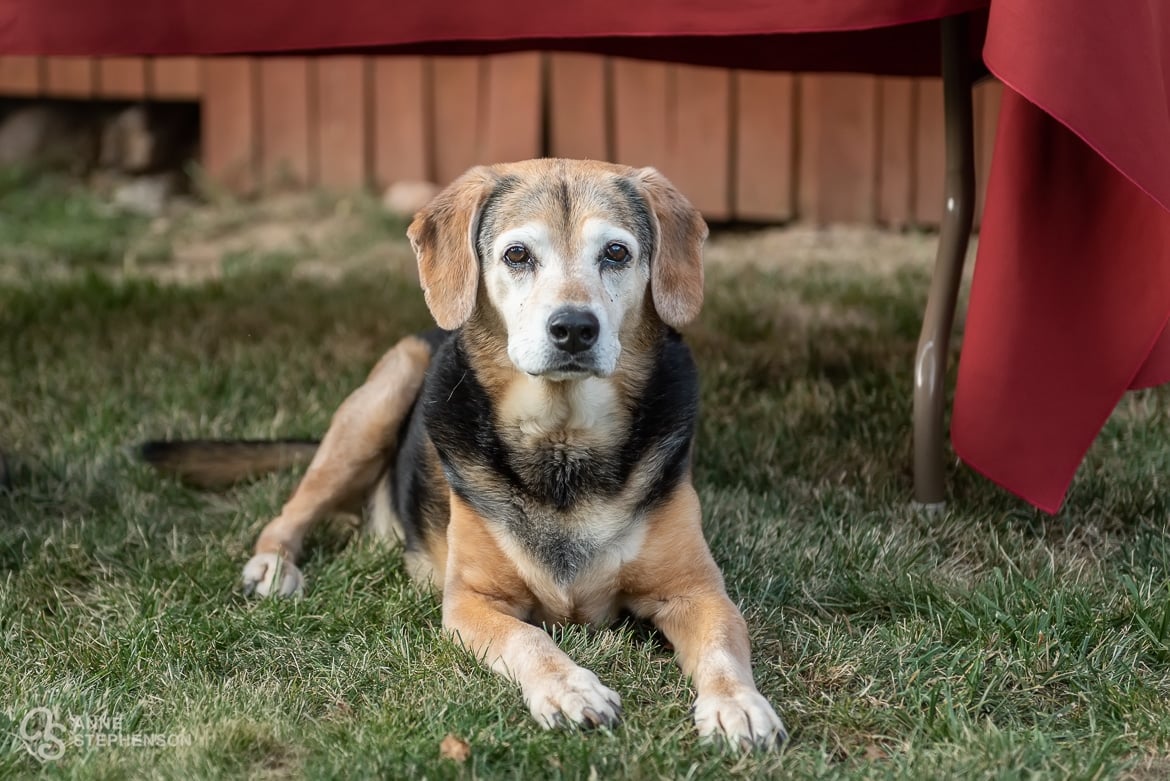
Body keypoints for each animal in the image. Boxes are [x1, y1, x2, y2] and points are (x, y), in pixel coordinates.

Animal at [143, 159, 786, 748]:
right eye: (518, 255)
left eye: (616, 253)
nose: (574, 328)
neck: (563, 447)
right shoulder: (471, 602)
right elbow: (530, 638)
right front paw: (568, 687)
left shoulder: (698, 591)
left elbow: (723, 648)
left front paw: (737, 704)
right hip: (384, 391)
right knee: (292, 510)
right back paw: (274, 566)